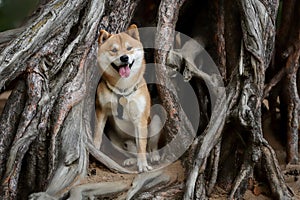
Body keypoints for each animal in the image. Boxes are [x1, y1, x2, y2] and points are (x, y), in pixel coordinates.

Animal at [95, 24, 161, 172]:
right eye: (114, 50)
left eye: (129, 48)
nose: (124, 58)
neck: (123, 89)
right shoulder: (101, 111)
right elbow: (97, 136)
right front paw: (95, 151)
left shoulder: (140, 119)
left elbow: (142, 146)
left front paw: (143, 166)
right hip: (116, 140)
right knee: (133, 151)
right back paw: (131, 160)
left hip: (156, 121)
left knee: (150, 148)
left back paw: (153, 156)